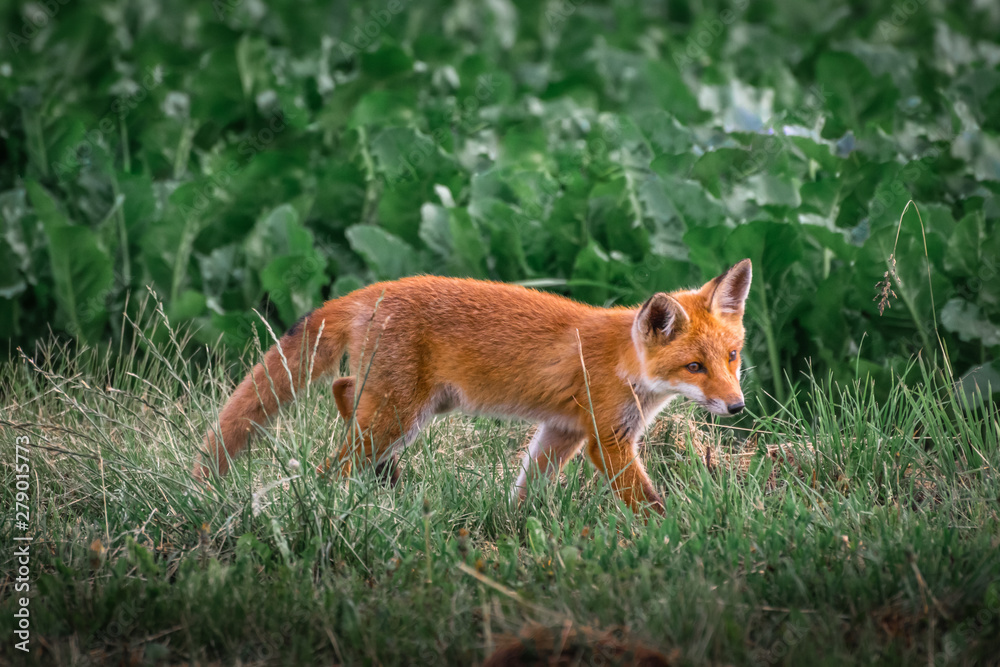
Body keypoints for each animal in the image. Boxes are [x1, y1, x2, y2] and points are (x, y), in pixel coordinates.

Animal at [196, 259, 752, 515]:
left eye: (731, 357)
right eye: (694, 367)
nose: (737, 407)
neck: (624, 363)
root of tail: (374, 290)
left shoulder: (562, 432)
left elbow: (528, 486)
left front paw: (514, 525)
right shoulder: (606, 440)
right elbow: (649, 501)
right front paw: (673, 530)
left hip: (415, 406)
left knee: (344, 388)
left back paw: (387, 476)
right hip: (401, 413)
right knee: (333, 459)